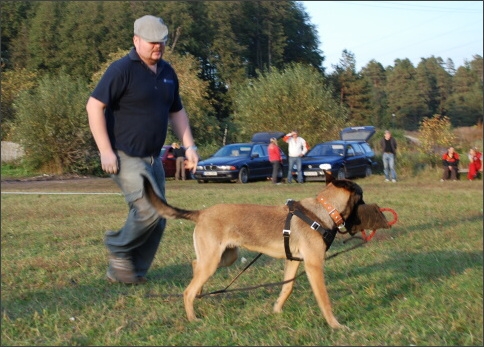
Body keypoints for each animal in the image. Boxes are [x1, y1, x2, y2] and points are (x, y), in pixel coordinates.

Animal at [143, 173, 390, 330]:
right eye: (361, 196)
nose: (377, 213)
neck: (322, 211)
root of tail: (201, 213)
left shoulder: (294, 261)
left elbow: (287, 288)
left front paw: (277, 310)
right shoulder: (314, 265)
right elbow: (324, 300)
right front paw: (335, 325)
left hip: (225, 257)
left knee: (195, 267)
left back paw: (200, 293)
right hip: (214, 260)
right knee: (188, 290)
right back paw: (193, 318)